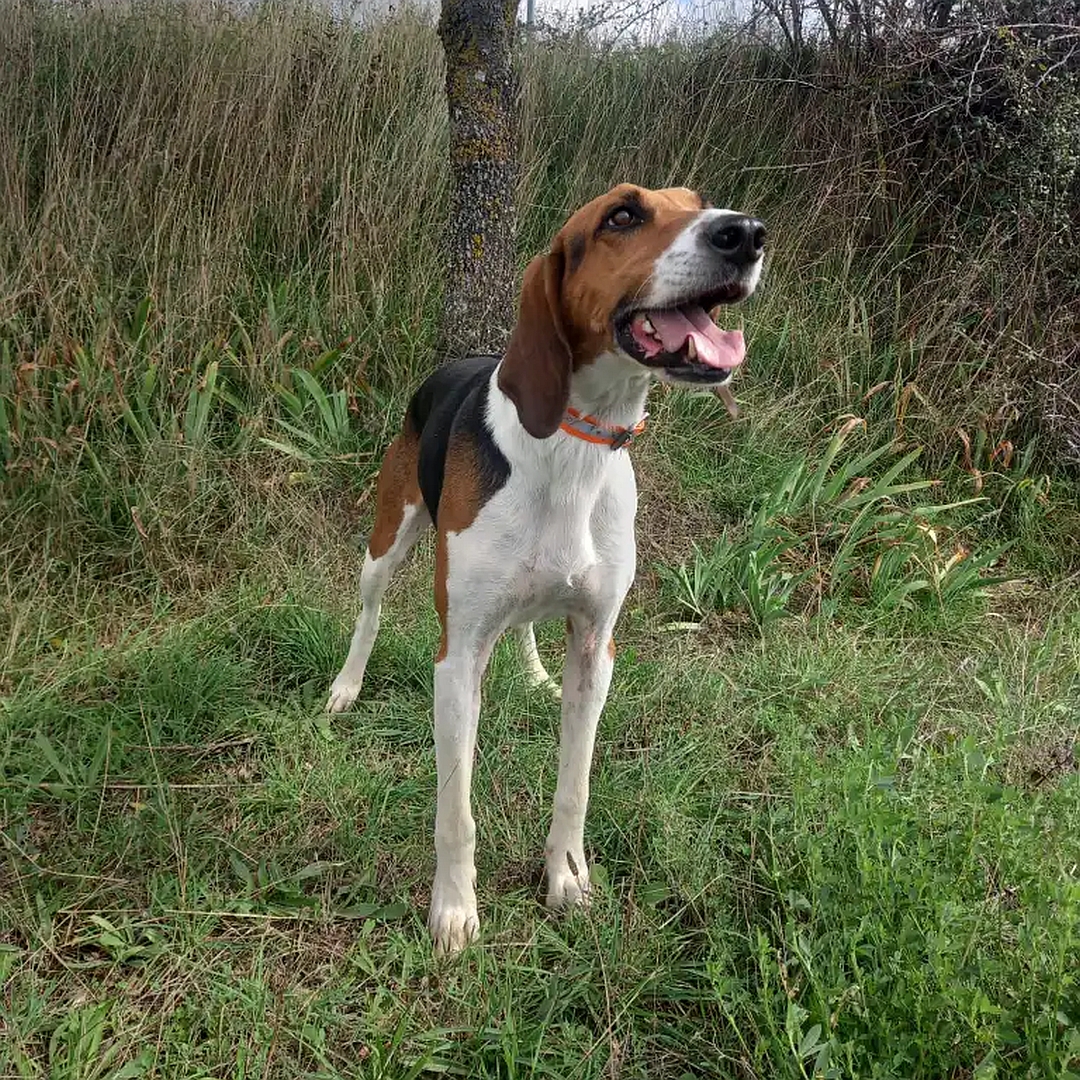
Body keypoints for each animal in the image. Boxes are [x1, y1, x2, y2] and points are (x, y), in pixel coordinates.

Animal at [324, 185, 764, 954]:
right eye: (623, 216)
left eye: (698, 202)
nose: (746, 234)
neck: (573, 444)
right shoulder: (457, 658)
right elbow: (455, 812)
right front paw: (453, 912)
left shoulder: (596, 650)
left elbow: (575, 786)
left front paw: (567, 879)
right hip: (387, 541)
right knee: (370, 612)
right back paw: (347, 686)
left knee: (525, 625)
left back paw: (531, 674)